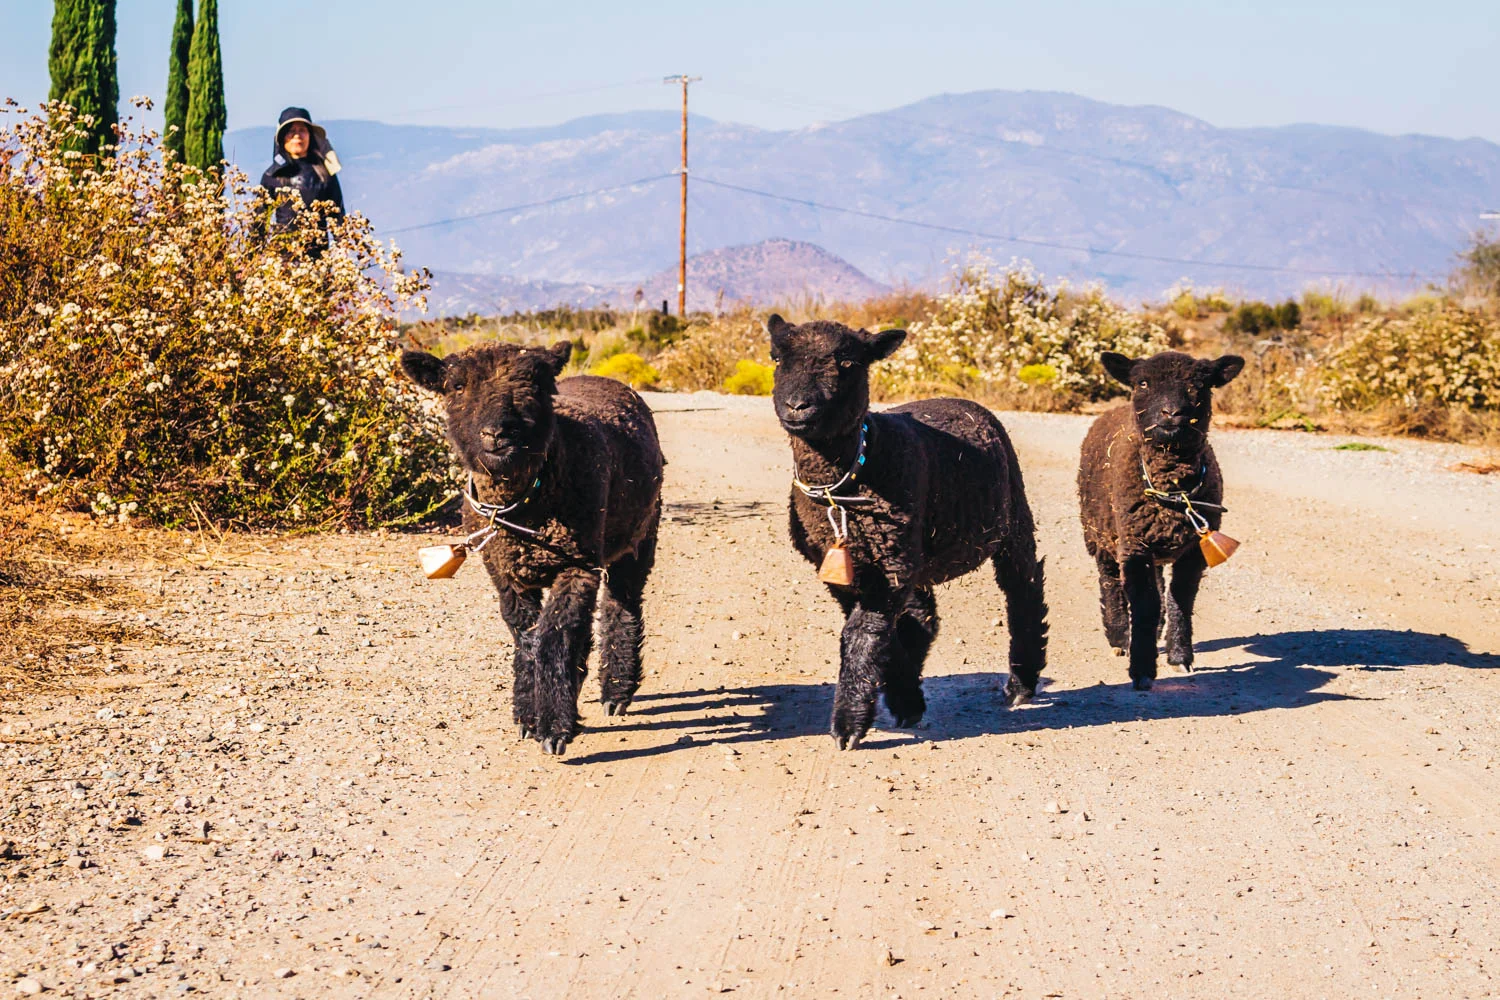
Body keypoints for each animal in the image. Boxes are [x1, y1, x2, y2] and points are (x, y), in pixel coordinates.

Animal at [401, 342, 665, 755]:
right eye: (456, 385)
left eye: (536, 385)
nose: (497, 433)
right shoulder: (505, 573)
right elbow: (526, 635)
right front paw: (528, 714)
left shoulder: (577, 565)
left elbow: (554, 635)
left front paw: (554, 727)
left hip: (640, 535)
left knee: (621, 604)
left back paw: (616, 691)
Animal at [767, 315, 1049, 750]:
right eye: (777, 358)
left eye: (848, 362)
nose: (798, 406)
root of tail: (961, 401)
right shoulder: (852, 568)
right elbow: (880, 632)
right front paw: (903, 697)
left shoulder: (889, 567)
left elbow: (863, 632)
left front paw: (848, 725)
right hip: (914, 547)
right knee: (923, 613)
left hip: (1011, 518)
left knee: (1024, 589)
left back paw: (1021, 682)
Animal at [1077, 350, 1245, 690]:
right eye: (1142, 383)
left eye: (1200, 384)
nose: (1172, 413)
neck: (1172, 491)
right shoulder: (1133, 544)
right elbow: (1144, 603)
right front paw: (1141, 669)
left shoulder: (1194, 551)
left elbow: (1180, 598)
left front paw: (1180, 657)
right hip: (1099, 533)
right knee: (1110, 581)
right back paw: (1119, 637)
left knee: (1156, 585)